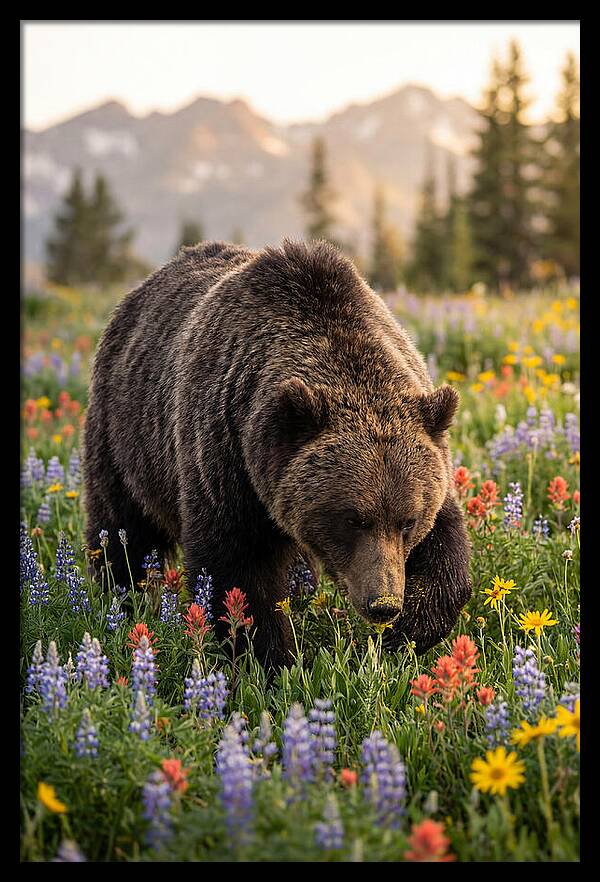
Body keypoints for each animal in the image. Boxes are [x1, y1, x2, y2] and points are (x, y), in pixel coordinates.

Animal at [82, 239, 471, 669]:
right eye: (353, 519)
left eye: (408, 521)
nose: (383, 603)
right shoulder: (226, 456)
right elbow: (237, 571)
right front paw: (269, 660)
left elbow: (446, 546)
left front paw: (407, 633)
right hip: (125, 438)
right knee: (122, 528)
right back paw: (119, 598)